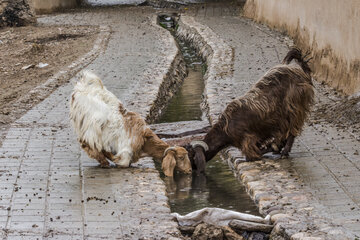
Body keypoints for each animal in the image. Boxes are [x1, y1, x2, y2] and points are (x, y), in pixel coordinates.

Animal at [184, 47, 314, 173]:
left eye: (191, 156)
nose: (192, 169)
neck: (226, 128)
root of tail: (300, 71)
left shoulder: (248, 140)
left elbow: (252, 155)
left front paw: (275, 146)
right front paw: (276, 146)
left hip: (294, 108)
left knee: (292, 131)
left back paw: (284, 151)